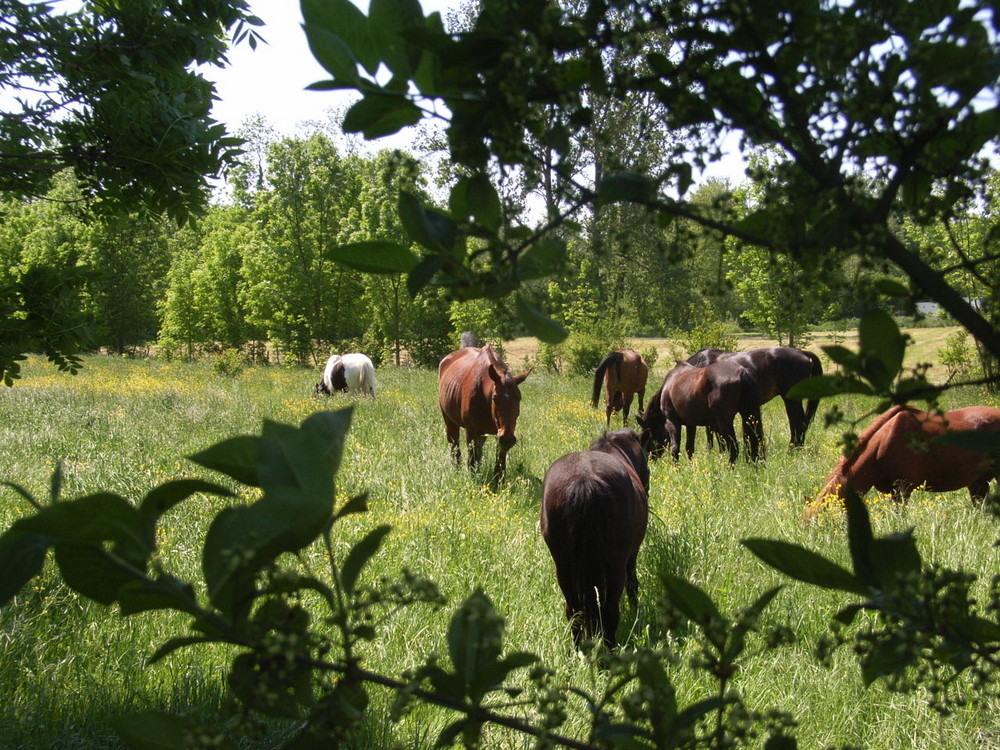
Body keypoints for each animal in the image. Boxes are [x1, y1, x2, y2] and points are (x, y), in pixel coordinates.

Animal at [438, 346, 532, 482]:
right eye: (494, 397)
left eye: (519, 398)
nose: (508, 439)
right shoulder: (471, 431)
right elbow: (471, 459)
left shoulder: (499, 434)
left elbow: (499, 459)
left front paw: (498, 480)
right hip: (450, 421)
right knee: (454, 445)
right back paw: (456, 468)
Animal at [540, 428, 648, 652]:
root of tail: (584, 479)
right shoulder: (631, 555)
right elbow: (632, 584)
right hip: (615, 568)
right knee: (610, 613)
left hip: (564, 569)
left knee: (574, 613)